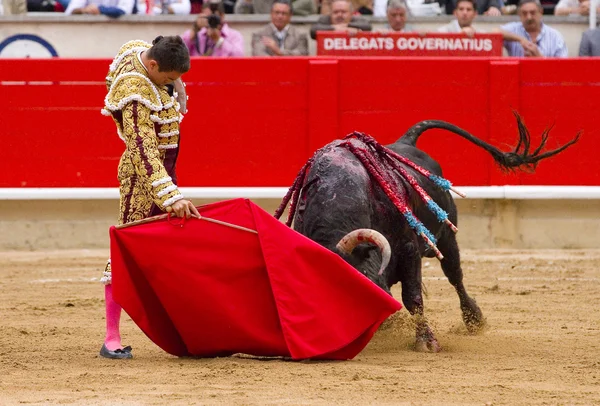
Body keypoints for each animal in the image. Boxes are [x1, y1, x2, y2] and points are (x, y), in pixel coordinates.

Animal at [276, 114, 576, 352]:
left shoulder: (408, 249)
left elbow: (413, 298)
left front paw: (426, 341)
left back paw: (474, 320)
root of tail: (407, 142)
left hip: (446, 236)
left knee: (455, 275)